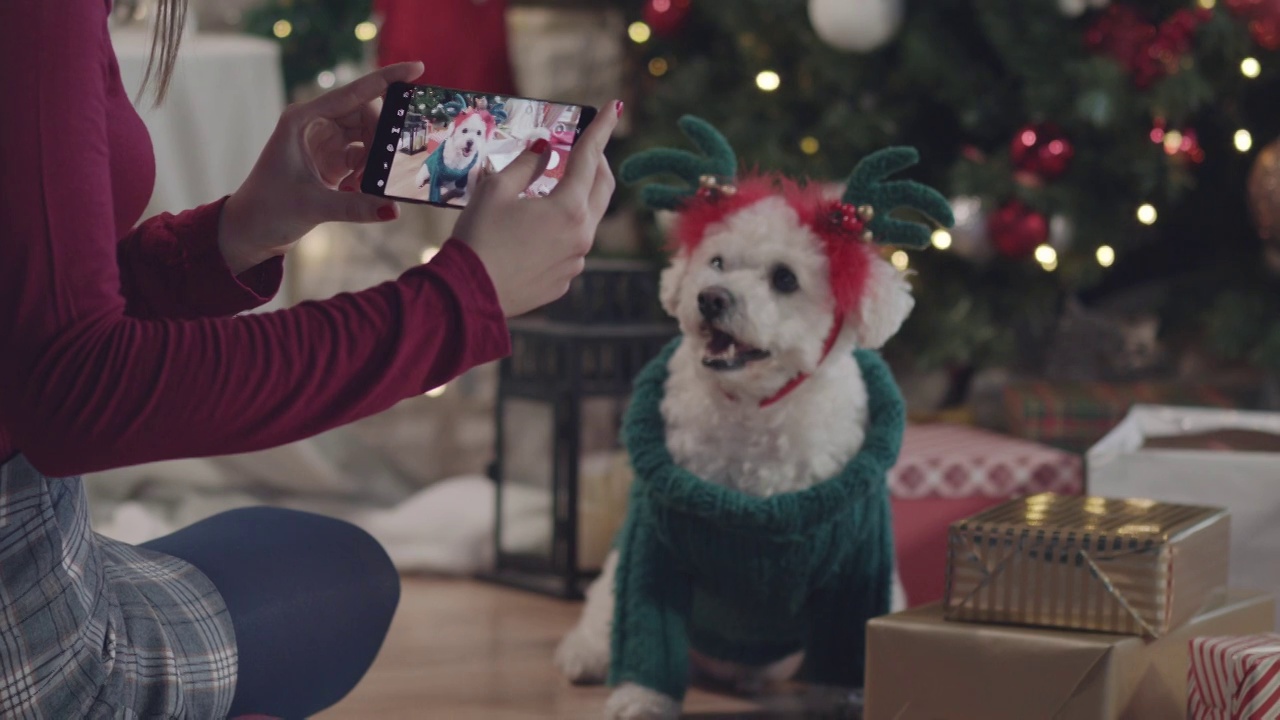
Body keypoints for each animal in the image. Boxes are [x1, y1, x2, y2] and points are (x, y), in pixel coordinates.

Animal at [550, 114, 952, 712]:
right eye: (717, 261)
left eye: (785, 278)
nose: (711, 298)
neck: (753, 413)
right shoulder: (654, 545)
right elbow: (646, 630)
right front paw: (640, 699)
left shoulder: (857, 559)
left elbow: (844, 649)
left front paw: (843, 700)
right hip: (615, 577)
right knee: (602, 613)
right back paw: (584, 655)